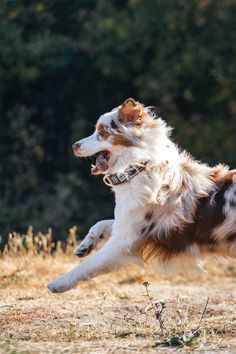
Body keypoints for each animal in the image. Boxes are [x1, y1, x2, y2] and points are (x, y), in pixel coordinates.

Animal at [47, 98, 235, 292]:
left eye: (102, 133)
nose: (74, 146)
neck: (137, 169)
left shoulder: (124, 243)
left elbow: (89, 264)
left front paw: (59, 283)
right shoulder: (127, 224)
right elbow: (101, 223)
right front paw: (85, 245)